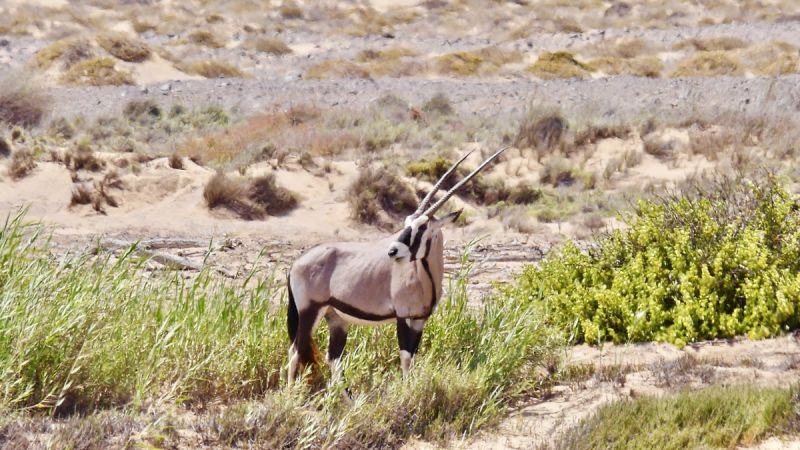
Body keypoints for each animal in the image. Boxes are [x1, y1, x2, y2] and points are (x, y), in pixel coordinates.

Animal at [288, 147, 506, 380]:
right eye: (407, 222)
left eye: (422, 227)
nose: (392, 251)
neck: (425, 278)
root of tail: (296, 264)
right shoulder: (402, 317)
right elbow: (405, 359)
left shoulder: (420, 320)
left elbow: (413, 357)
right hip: (309, 312)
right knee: (295, 352)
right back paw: (290, 391)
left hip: (336, 317)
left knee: (332, 358)